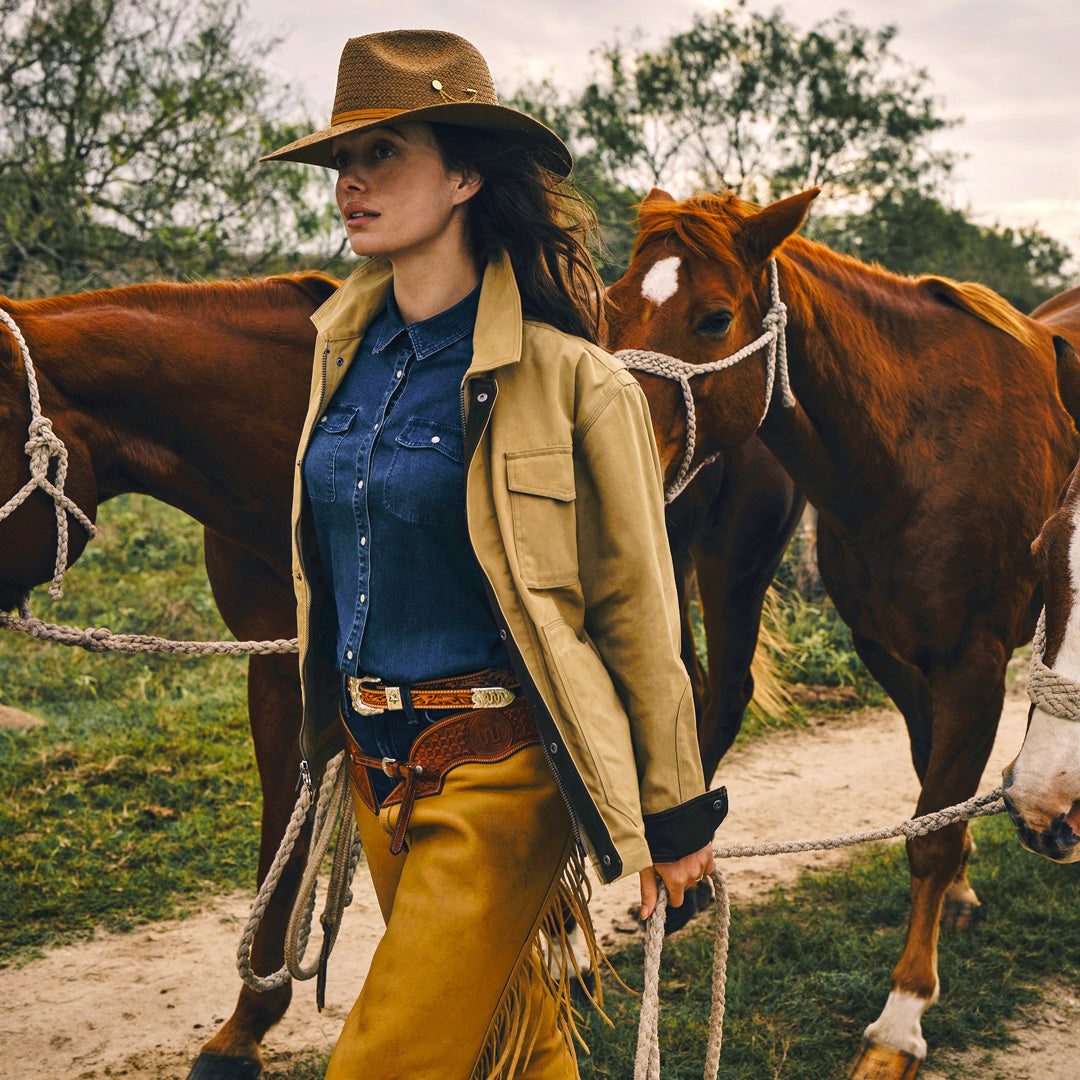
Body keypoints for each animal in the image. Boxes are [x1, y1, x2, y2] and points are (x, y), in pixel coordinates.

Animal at [609, 187, 1080, 1080]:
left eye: (714, 318)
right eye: (615, 305)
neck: (919, 445)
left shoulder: (971, 666)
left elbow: (933, 834)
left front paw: (900, 1021)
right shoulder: (891, 653)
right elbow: (934, 794)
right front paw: (961, 891)